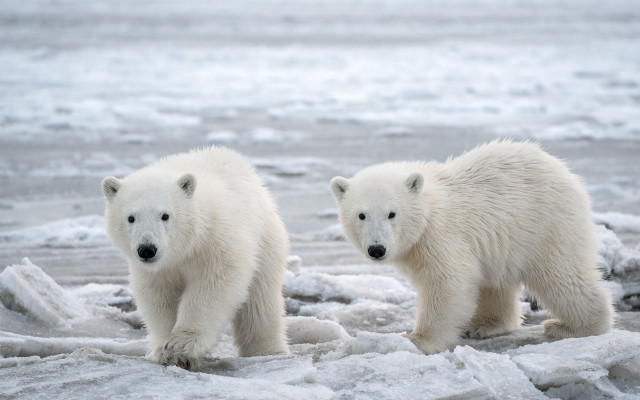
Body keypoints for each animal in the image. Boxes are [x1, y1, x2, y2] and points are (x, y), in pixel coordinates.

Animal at [102, 147, 290, 369]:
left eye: (165, 215)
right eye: (131, 218)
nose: (147, 249)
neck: (184, 248)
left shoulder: (216, 243)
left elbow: (214, 286)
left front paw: (182, 344)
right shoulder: (157, 270)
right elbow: (158, 296)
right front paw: (164, 350)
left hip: (265, 239)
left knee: (260, 303)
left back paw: (267, 351)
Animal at [330, 140, 613, 355]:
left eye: (392, 213)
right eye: (361, 215)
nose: (377, 249)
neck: (429, 211)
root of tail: (564, 171)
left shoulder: (441, 237)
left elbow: (447, 282)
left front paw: (417, 339)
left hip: (545, 224)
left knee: (561, 275)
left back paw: (574, 327)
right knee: (496, 281)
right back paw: (484, 325)